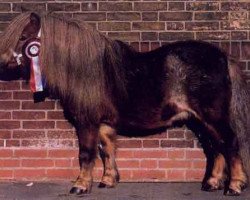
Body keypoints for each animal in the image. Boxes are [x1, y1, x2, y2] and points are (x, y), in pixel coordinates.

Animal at [0, 12, 250, 195]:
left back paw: (235, 185)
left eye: (23, 37)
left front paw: (80, 185)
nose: (2, 64)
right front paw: (108, 180)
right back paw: (212, 183)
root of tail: (222, 57)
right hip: (200, 121)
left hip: (212, 116)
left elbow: (86, 153)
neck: (86, 70)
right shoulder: (104, 124)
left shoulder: (87, 122)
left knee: (229, 142)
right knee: (215, 147)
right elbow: (106, 150)